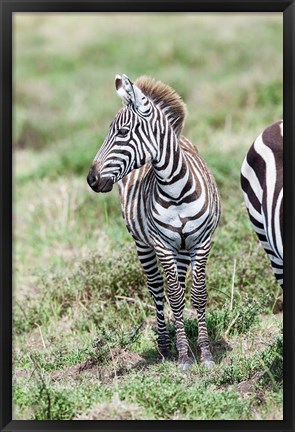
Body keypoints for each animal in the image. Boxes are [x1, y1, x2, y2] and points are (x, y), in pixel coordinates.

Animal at [86, 73, 221, 368]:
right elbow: (174, 296)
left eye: (122, 132)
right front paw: (183, 356)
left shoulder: (202, 242)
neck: (177, 190)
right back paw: (165, 344)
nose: (91, 179)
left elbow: (197, 295)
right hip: (143, 244)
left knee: (177, 284)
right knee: (158, 288)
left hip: (181, 248)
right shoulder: (161, 245)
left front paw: (205, 353)